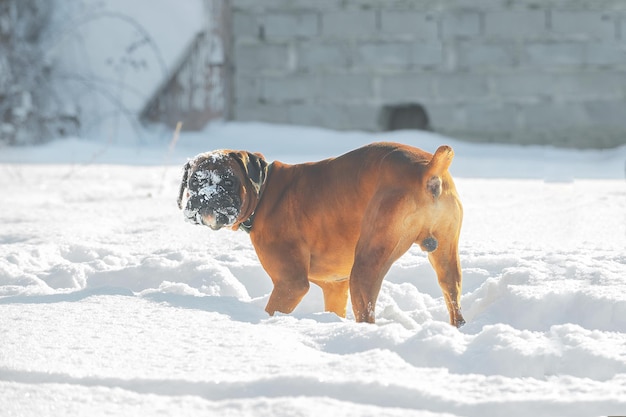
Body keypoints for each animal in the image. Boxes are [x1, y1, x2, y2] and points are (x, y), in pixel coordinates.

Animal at [177, 141, 464, 326]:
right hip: (445, 260)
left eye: (228, 181)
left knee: (367, 313)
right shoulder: (334, 287)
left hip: (365, 268)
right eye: (194, 182)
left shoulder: (290, 284)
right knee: (452, 295)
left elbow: (272, 310)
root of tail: (428, 168)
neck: (266, 191)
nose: (206, 197)